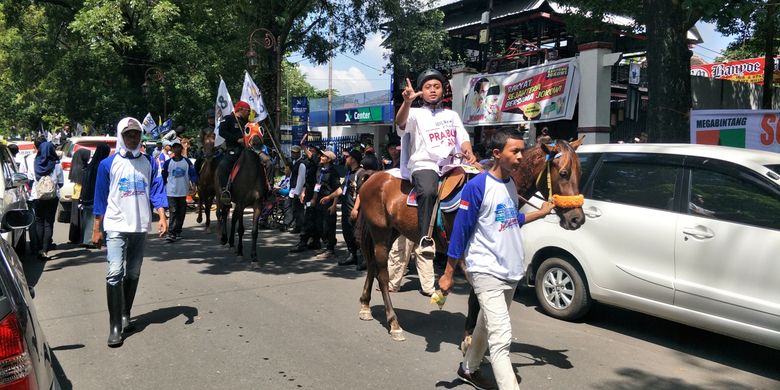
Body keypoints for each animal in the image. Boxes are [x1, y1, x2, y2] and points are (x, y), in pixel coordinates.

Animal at [356, 139, 580, 340]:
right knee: (382, 274)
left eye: (580, 173)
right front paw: (469, 339)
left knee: (372, 266)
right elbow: (476, 297)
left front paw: (473, 336)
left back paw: (365, 306)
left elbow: (479, 297)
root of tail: (374, 176)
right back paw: (394, 323)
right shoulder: (464, 255)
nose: (577, 218)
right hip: (380, 233)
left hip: (391, 232)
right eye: (563, 173)